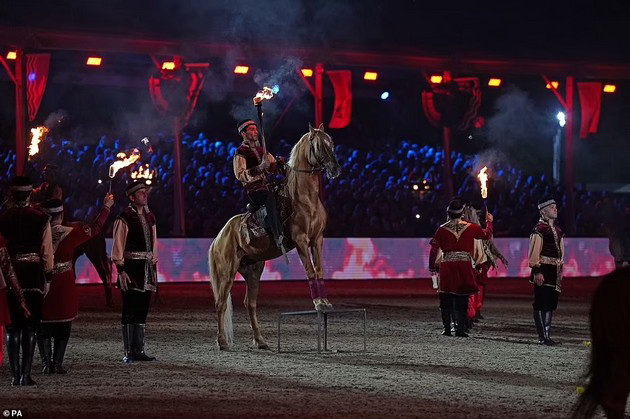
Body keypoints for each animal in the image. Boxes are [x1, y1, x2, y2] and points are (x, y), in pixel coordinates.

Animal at [209, 124, 340, 352]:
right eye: (318, 145)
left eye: (330, 142)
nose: (335, 168)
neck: (305, 200)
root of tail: (219, 237)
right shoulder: (300, 240)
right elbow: (310, 271)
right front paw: (318, 303)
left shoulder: (317, 239)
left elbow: (319, 270)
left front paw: (325, 302)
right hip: (227, 271)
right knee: (221, 303)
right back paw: (222, 342)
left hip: (252, 271)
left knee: (250, 304)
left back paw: (260, 340)